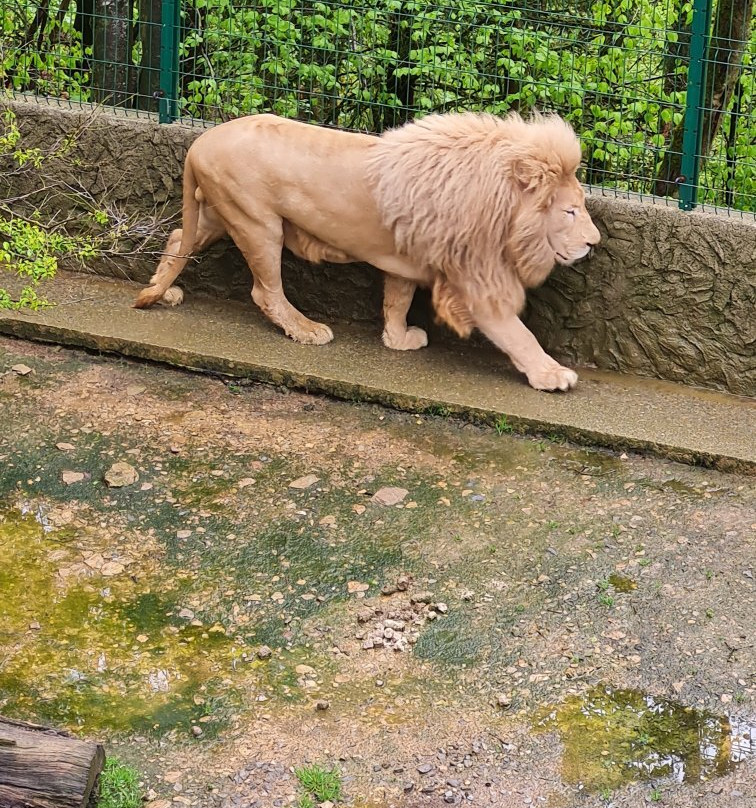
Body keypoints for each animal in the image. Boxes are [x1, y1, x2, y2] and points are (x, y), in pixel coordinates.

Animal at [134, 111, 596, 392]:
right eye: (570, 211)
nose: (594, 243)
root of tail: (200, 142)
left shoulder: (407, 259)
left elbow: (397, 299)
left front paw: (398, 340)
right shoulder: (475, 278)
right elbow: (518, 333)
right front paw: (552, 374)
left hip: (217, 213)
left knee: (178, 238)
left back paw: (161, 291)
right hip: (258, 222)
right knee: (265, 291)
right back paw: (306, 330)